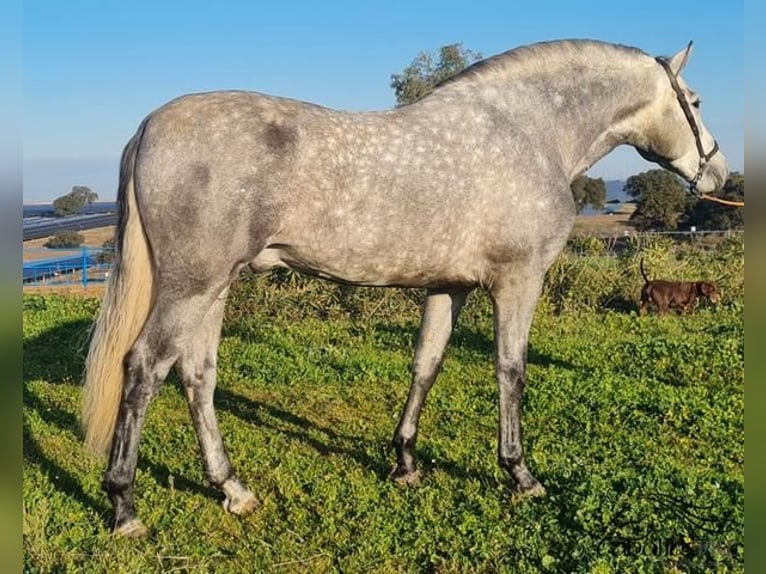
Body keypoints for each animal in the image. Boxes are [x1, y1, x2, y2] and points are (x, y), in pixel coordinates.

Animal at [81, 38, 728, 536]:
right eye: (695, 101)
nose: (717, 174)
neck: (529, 130)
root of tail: (150, 126)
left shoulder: (448, 287)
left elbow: (427, 363)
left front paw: (405, 462)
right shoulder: (518, 281)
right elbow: (510, 370)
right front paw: (520, 474)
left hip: (214, 287)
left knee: (197, 375)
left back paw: (232, 489)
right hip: (191, 286)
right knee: (144, 368)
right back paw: (125, 508)